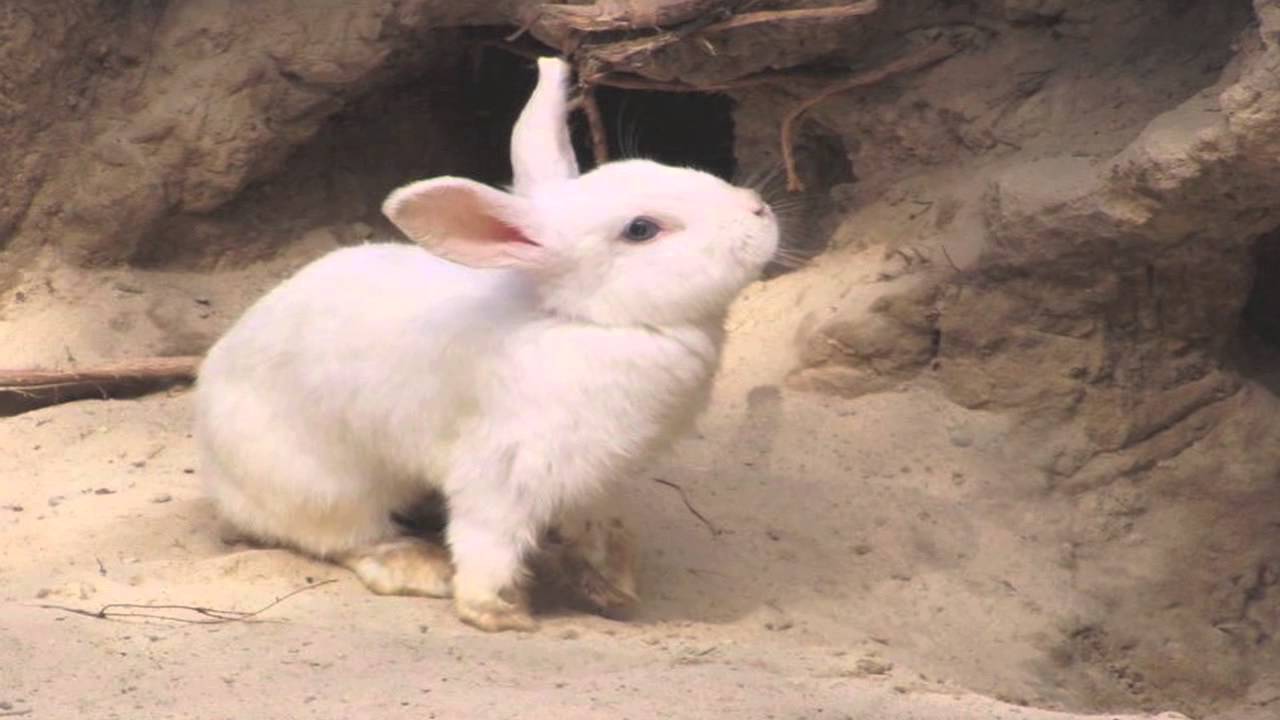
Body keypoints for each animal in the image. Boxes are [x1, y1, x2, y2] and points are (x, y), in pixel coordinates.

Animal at [194, 56, 779, 632]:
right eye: (641, 229)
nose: (758, 209)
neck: (584, 321)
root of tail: (215, 468)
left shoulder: (593, 478)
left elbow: (589, 526)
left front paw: (612, 585)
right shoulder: (505, 469)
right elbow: (488, 537)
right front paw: (499, 611)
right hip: (324, 486)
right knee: (346, 538)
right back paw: (420, 566)